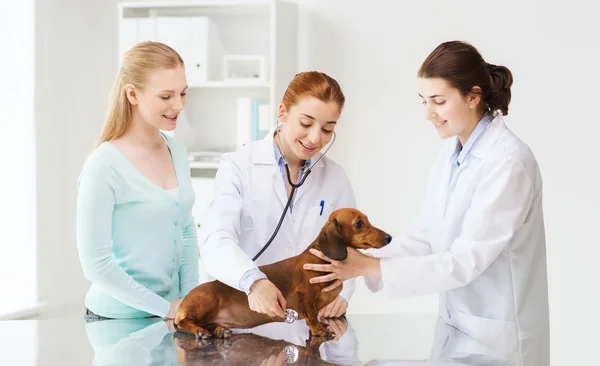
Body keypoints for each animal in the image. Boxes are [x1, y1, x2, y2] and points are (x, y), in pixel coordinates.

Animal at [173, 209, 392, 340]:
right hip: (207, 301)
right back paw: (200, 331)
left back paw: (220, 330)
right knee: (183, 323)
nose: (389, 238)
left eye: (367, 220)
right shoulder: (306, 294)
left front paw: (320, 325)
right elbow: (312, 315)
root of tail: (184, 301)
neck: (321, 258)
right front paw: (318, 330)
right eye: (359, 223)